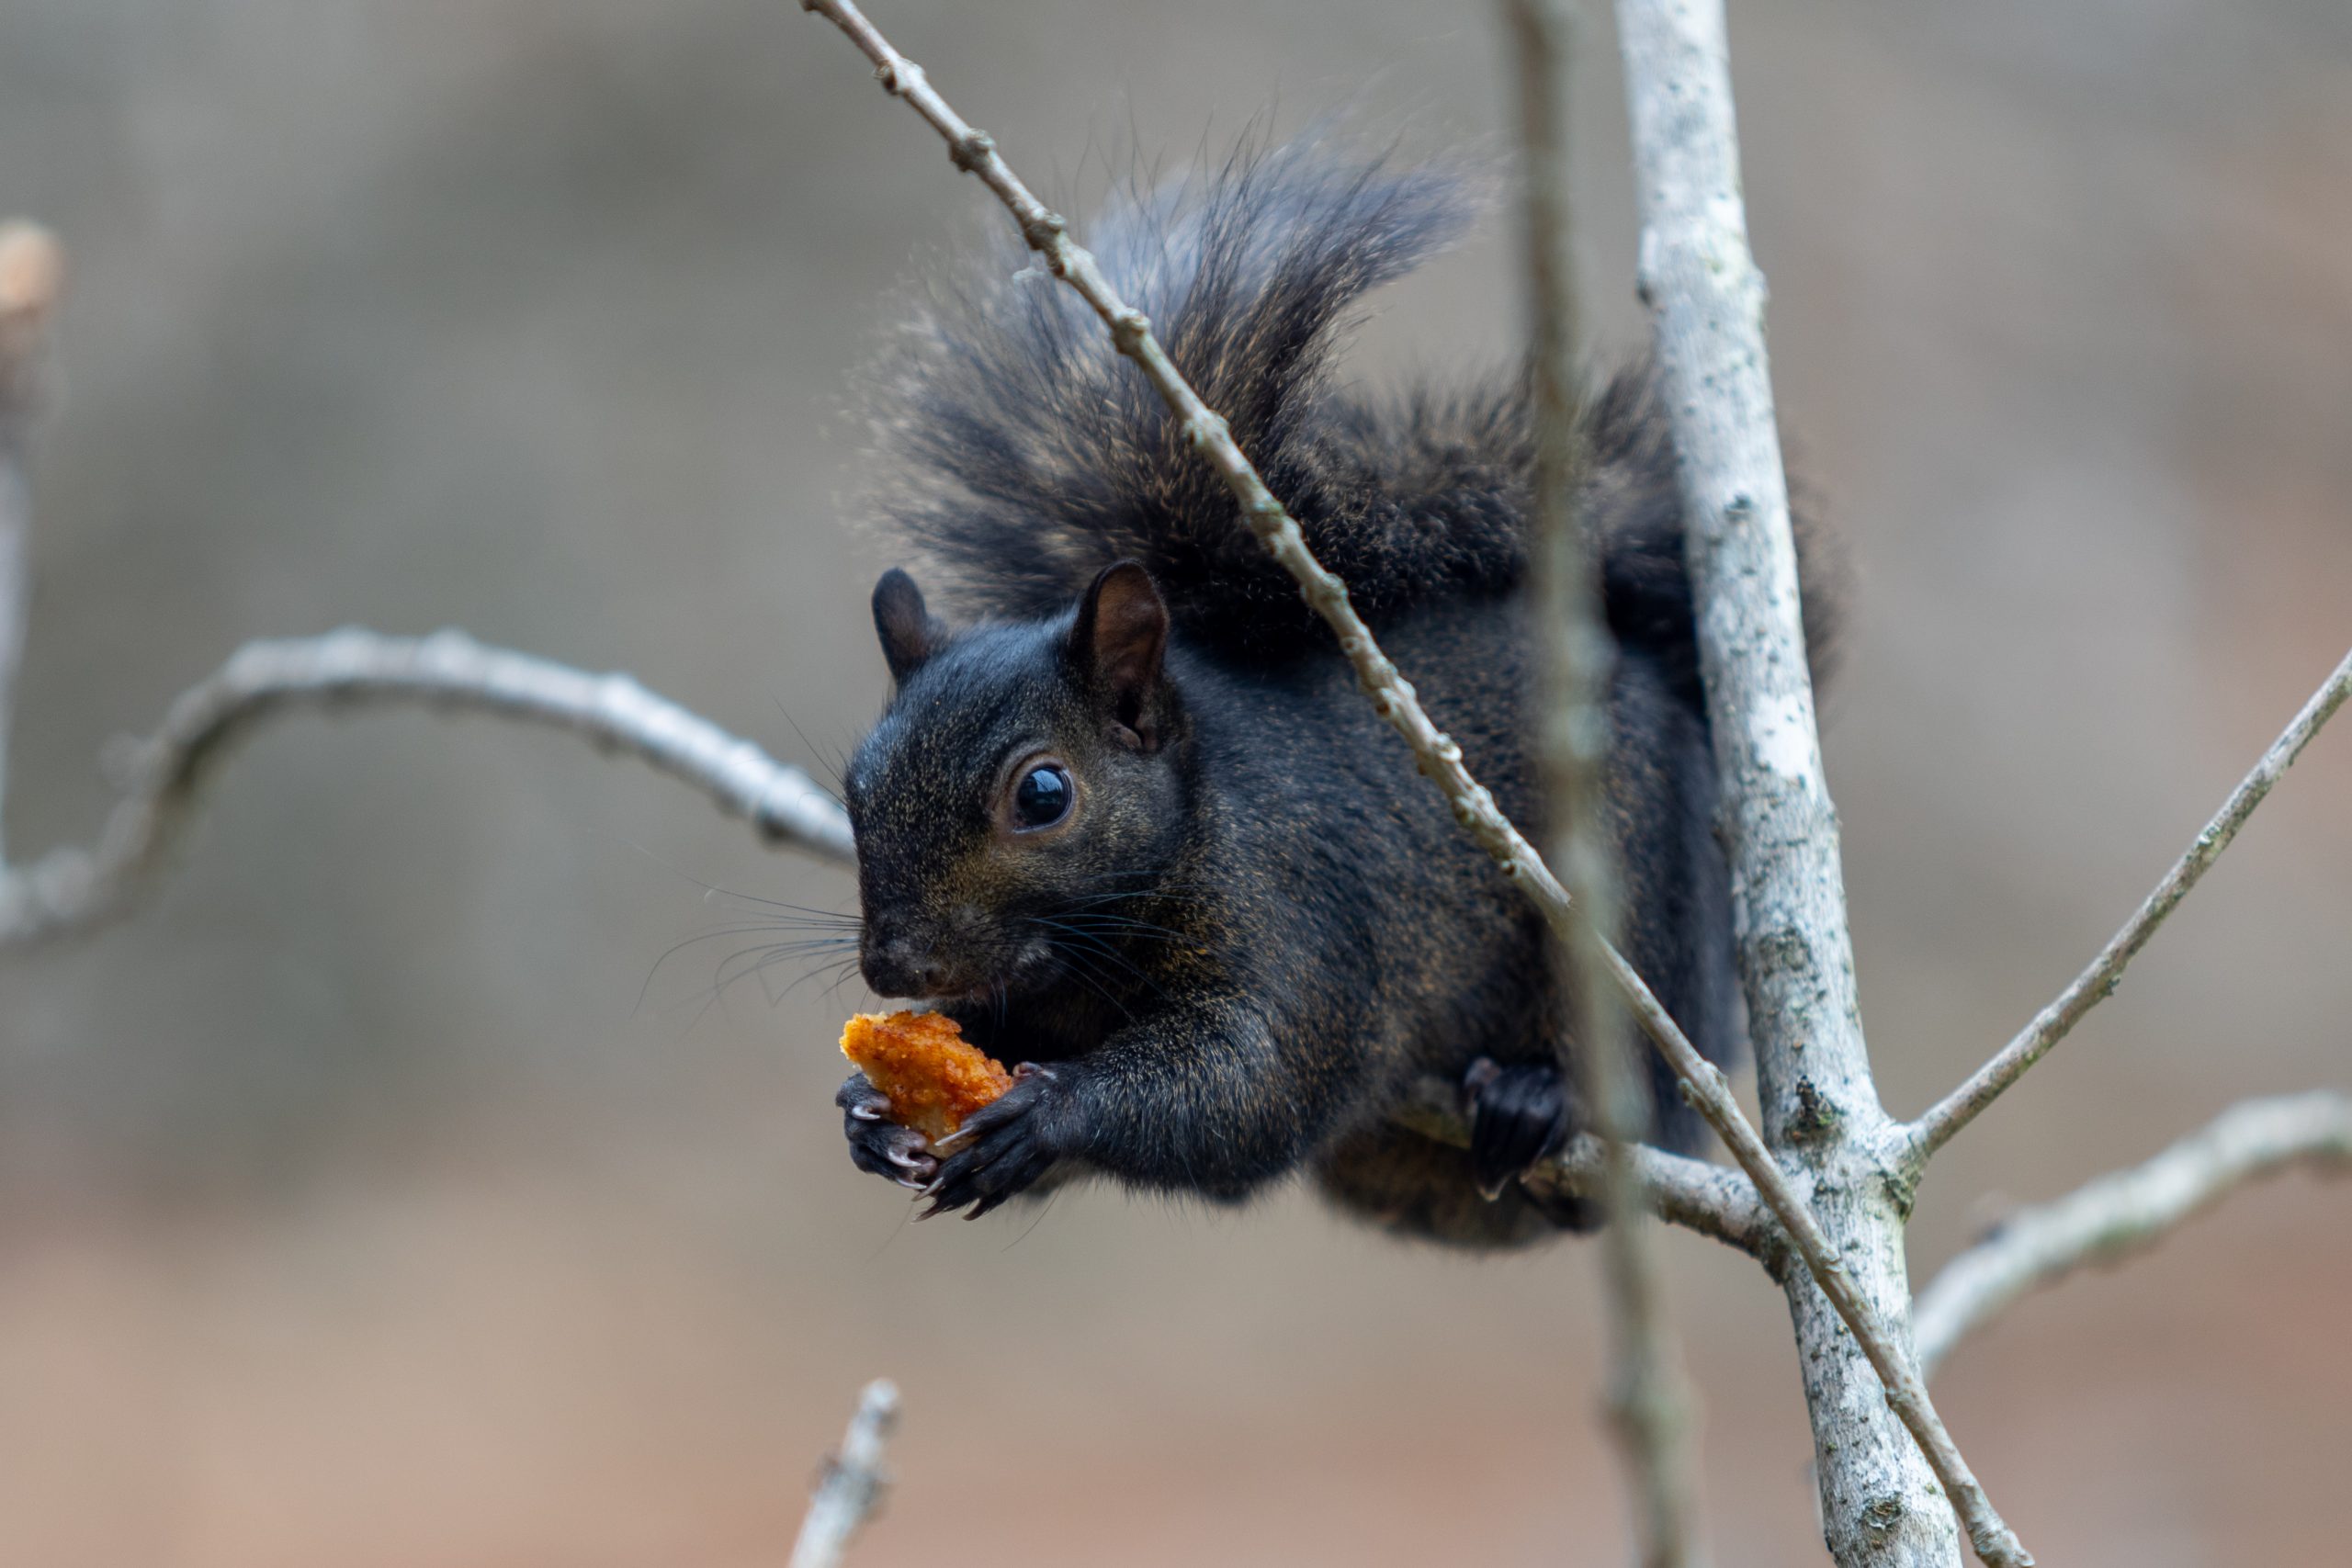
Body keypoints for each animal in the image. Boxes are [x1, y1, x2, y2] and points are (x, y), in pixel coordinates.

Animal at [830, 141, 1837, 1247]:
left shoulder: (1302, 924)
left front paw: (1048, 1114)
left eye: (1043, 795)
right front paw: (866, 1111)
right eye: (853, 787)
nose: (895, 967)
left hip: (1639, 886)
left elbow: (1252, 1083)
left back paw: (1538, 1097)